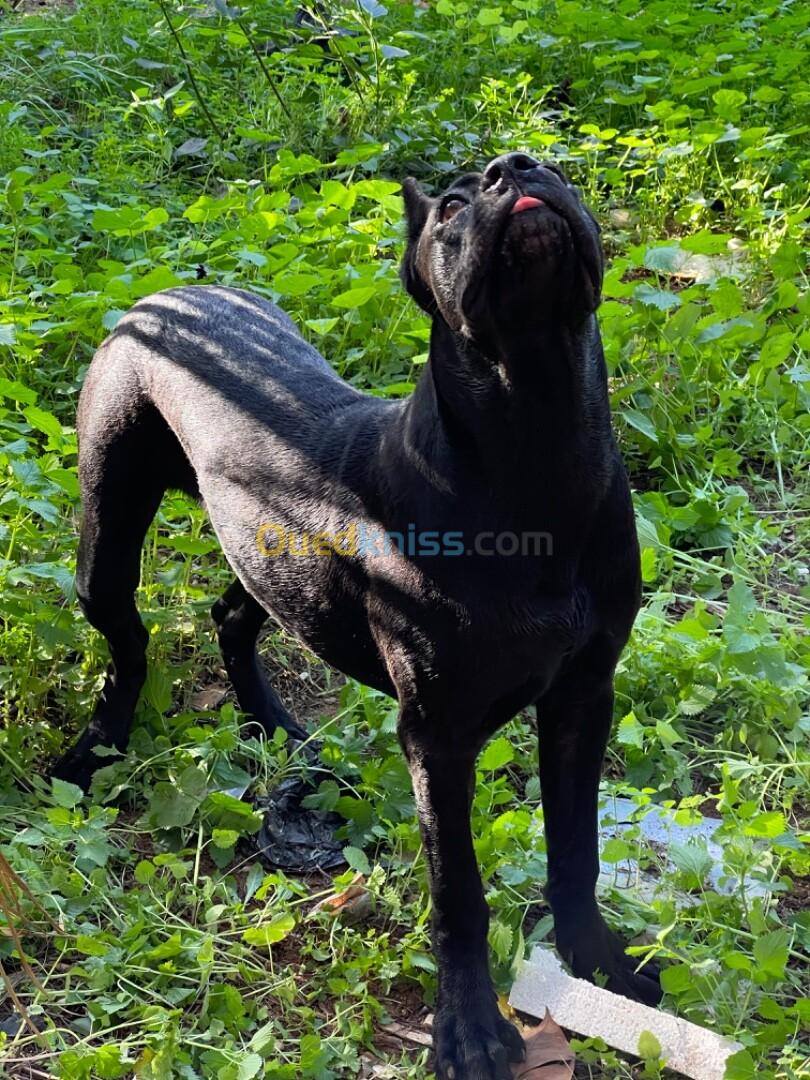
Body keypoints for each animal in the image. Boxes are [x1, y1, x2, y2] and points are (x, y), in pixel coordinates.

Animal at [58, 152, 665, 1080]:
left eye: (554, 166)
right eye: (449, 208)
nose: (514, 168)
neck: (536, 441)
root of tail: (167, 296)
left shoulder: (582, 697)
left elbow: (576, 849)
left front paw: (598, 962)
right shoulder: (438, 737)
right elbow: (459, 892)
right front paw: (470, 1029)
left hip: (266, 546)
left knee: (232, 616)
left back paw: (275, 727)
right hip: (110, 526)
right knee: (129, 642)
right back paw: (99, 746)